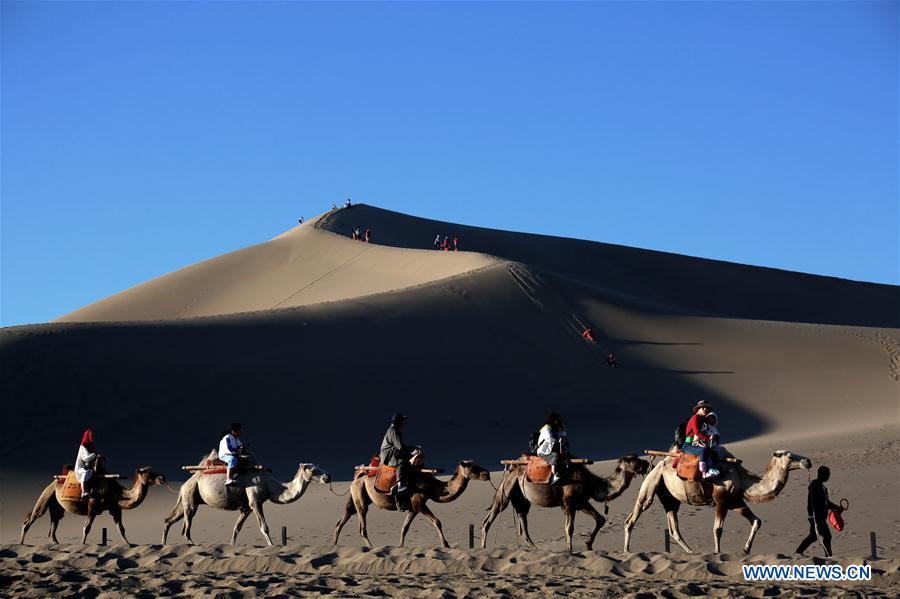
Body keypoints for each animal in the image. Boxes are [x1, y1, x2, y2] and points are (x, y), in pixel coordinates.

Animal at [19, 466, 167, 548]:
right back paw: (21, 543)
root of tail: (56, 480)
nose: (162, 477)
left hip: (56, 506)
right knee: (32, 518)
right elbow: (87, 528)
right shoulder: (93, 505)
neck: (116, 491)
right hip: (46, 495)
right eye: (148, 473)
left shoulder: (115, 508)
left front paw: (128, 544)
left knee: (53, 527)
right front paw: (82, 545)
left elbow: (121, 529)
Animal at [162, 452, 330, 548]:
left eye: (318, 467)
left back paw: (163, 544)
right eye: (313, 470)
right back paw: (190, 544)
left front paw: (231, 545)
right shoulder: (255, 502)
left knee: (169, 520)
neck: (269, 485)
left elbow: (236, 528)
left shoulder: (246, 508)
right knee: (185, 528)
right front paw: (272, 546)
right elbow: (264, 527)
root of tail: (185, 483)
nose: (328, 476)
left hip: (189, 499)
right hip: (190, 498)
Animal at [334, 462, 492, 552]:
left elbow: (405, 528)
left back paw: (334, 545)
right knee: (362, 528)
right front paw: (446, 545)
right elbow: (437, 522)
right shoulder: (419, 503)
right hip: (360, 499)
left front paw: (400, 547)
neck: (433, 486)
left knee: (341, 521)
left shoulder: (413, 508)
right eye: (473, 467)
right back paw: (372, 548)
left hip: (357, 499)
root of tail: (356, 479)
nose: (487, 473)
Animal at [482, 454, 652, 552]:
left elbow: (600, 519)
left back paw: (537, 549)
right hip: (506, 489)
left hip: (521, 498)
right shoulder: (569, 502)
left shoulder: (581, 502)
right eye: (634, 461)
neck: (590, 482)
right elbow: (569, 528)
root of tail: (512, 467)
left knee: (523, 522)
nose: (647, 464)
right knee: (489, 518)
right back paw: (483, 548)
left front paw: (588, 544)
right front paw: (570, 550)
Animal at [624, 448, 812, 556]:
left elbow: (757, 521)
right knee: (634, 514)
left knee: (673, 528)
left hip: (669, 497)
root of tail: (657, 464)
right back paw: (626, 550)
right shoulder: (721, 499)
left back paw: (691, 552)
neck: (743, 478)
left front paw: (746, 549)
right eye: (789, 455)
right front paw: (717, 552)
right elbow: (718, 529)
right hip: (652, 482)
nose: (808, 461)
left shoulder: (735, 502)